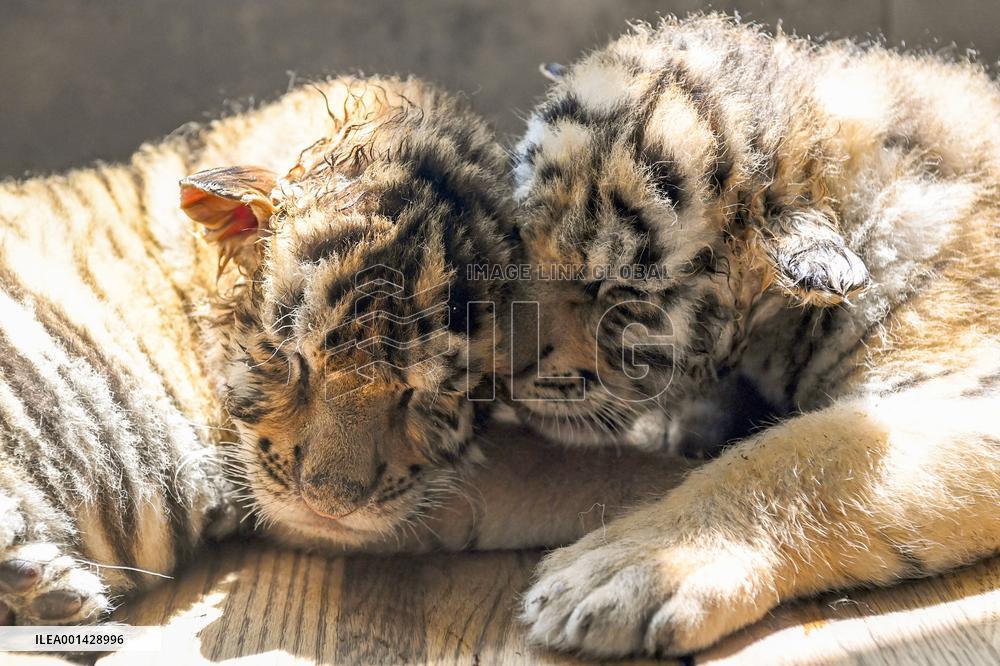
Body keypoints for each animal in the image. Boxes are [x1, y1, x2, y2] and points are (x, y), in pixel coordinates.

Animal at [509, 14, 1000, 658]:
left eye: (617, 290)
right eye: (520, 237)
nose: (491, 370)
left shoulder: (963, 392)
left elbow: (807, 454)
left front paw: (632, 567)